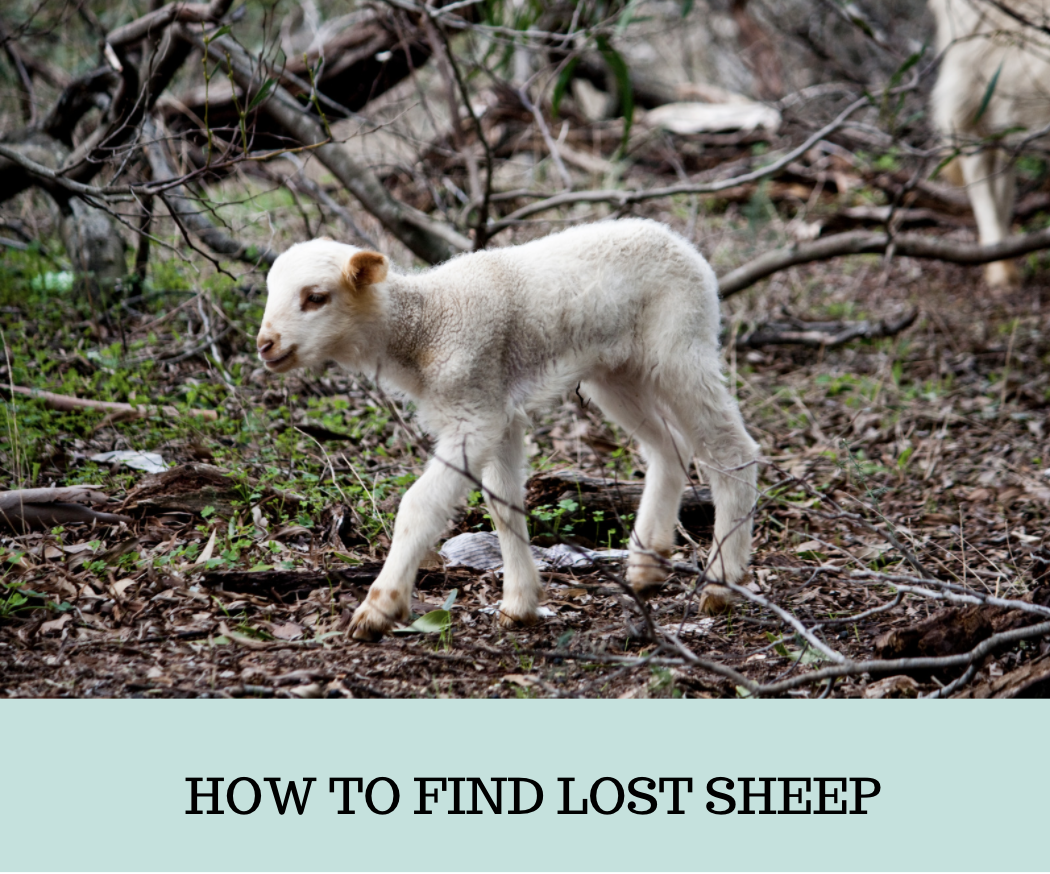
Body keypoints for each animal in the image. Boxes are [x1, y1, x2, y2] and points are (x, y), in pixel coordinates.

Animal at [256, 219, 760, 641]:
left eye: (316, 297)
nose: (265, 344)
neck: (424, 327)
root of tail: (680, 242)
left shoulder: (475, 414)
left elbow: (419, 506)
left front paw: (379, 608)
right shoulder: (497, 412)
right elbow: (503, 507)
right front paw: (519, 605)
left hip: (680, 347)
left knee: (731, 449)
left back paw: (721, 583)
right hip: (618, 373)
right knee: (669, 447)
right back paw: (647, 566)